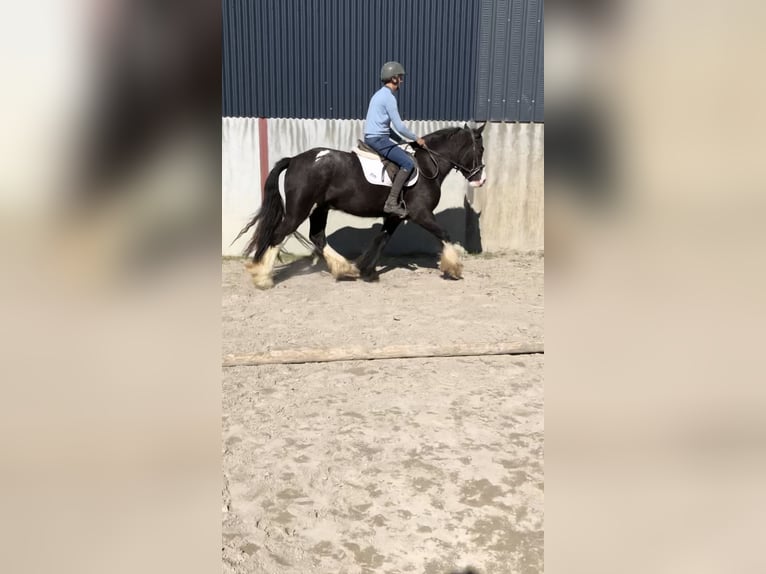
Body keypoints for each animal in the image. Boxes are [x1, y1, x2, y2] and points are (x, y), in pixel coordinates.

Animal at [236, 124, 486, 290]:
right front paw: (454, 268)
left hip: (320, 209)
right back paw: (263, 278)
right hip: (299, 209)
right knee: (278, 235)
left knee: (317, 236)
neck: (426, 166)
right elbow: (444, 234)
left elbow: (381, 240)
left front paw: (367, 270)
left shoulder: (394, 216)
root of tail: (295, 159)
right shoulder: (421, 213)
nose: (480, 180)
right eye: (481, 149)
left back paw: (345, 269)